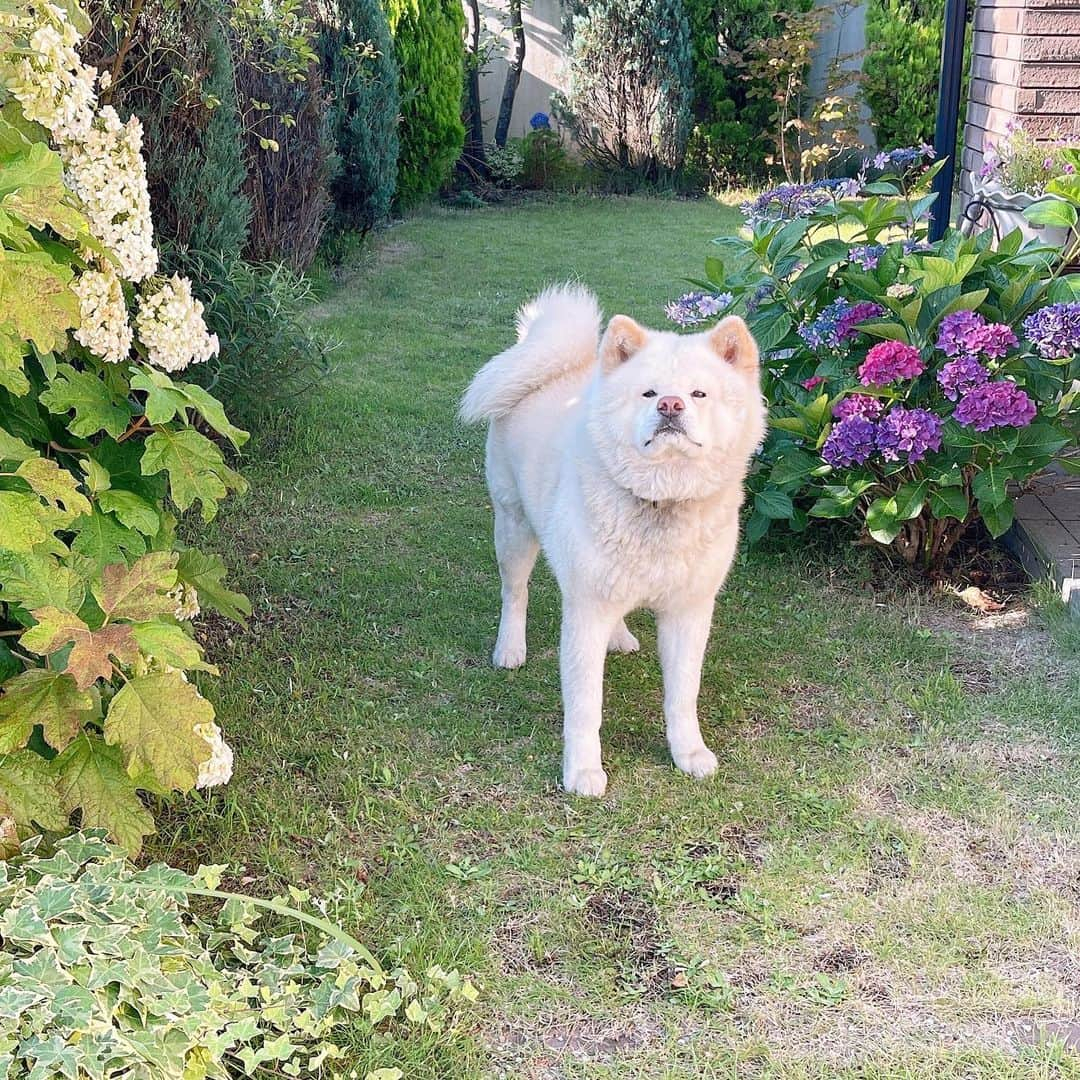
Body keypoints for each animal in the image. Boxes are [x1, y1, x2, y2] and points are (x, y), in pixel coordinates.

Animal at [460, 287, 764, 794]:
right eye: (649, 392)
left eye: (699, 393)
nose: (671, 406)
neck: (660, 501)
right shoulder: (586, 611)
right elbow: (586, 706)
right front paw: (583, 770)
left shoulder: (688, 613)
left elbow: (683, 695)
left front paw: (689, 753)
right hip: (514, 528)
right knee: (515, 592)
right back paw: (510, 648)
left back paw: (619, 637)